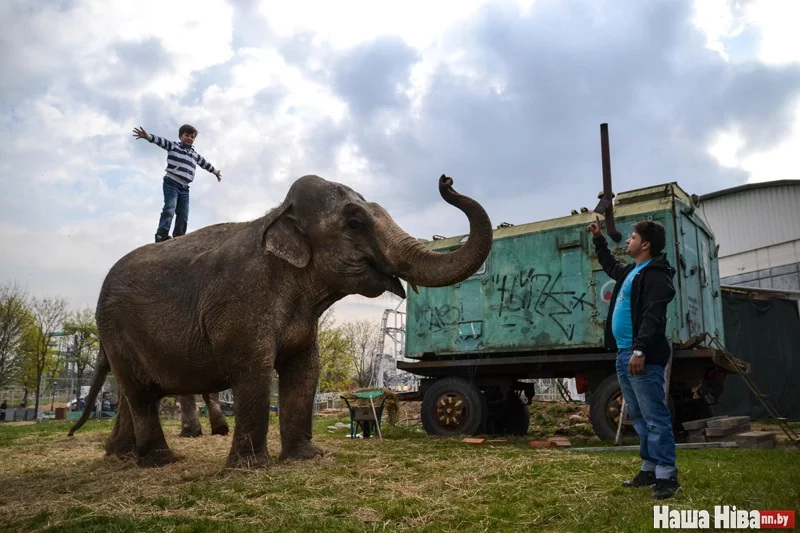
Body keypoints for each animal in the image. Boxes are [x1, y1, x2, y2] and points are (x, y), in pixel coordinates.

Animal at [69, 174, 494, 466]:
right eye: (355, 223)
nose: (446, 180)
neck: (275, 216)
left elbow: (306, 371)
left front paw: (308, 457)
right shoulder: (241, 305)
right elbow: (254, 373)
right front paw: (251, 469)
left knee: (135, 394)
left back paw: (122, 457)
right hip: (116, 331)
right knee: (140, 394)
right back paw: (162, 460)